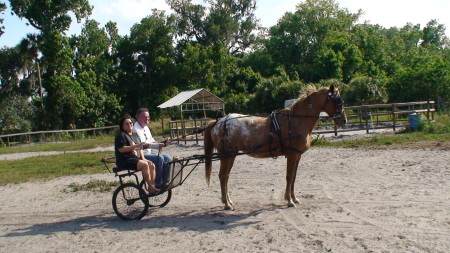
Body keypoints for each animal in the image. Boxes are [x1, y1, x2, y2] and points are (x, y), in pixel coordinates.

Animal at [204, 84, 348, 210]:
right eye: (337, 101)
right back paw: (226, 204)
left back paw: (229, 201)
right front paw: (289, 201)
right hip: (226, 154)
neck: (296, 121)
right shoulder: (292, 155)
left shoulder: (297, 155)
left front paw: (294, 198)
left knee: (226, 176)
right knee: (223, 176)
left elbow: (294, 176)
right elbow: (289, 176)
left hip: (231, 154)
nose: (343, 120)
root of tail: (218, 122)